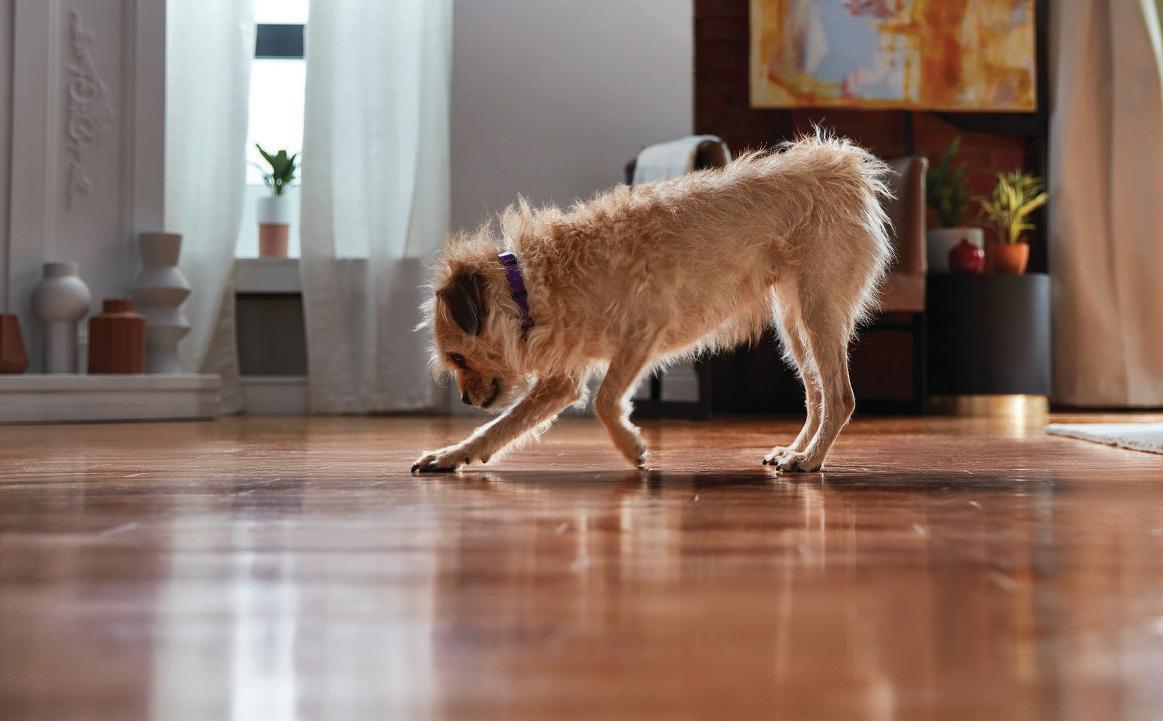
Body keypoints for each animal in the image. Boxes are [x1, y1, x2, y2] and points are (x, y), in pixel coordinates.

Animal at [412, 132, 892, 474]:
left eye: (458, 355)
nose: (466, 400)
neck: (532, 283)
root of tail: (841, 165)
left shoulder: (643, 334)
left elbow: (605, 401)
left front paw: (631, 448)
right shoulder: (562, 381)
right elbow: (501, 427)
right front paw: (452, 454)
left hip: (817, 314)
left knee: (840, 396)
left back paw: (810, 460)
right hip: (795, 326)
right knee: (817, 395)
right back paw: (797, 450)